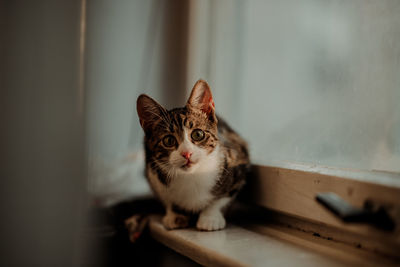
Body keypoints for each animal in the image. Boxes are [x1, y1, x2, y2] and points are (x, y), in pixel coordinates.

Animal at [138, 79, 250, 232]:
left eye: (198, 134)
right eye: (168, 140)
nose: (187, 153)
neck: (193, 175)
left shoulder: (238, 159)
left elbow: (223, 197)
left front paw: (210, 217)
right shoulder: (153, 173)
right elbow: (167, 199)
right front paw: (175, 215)